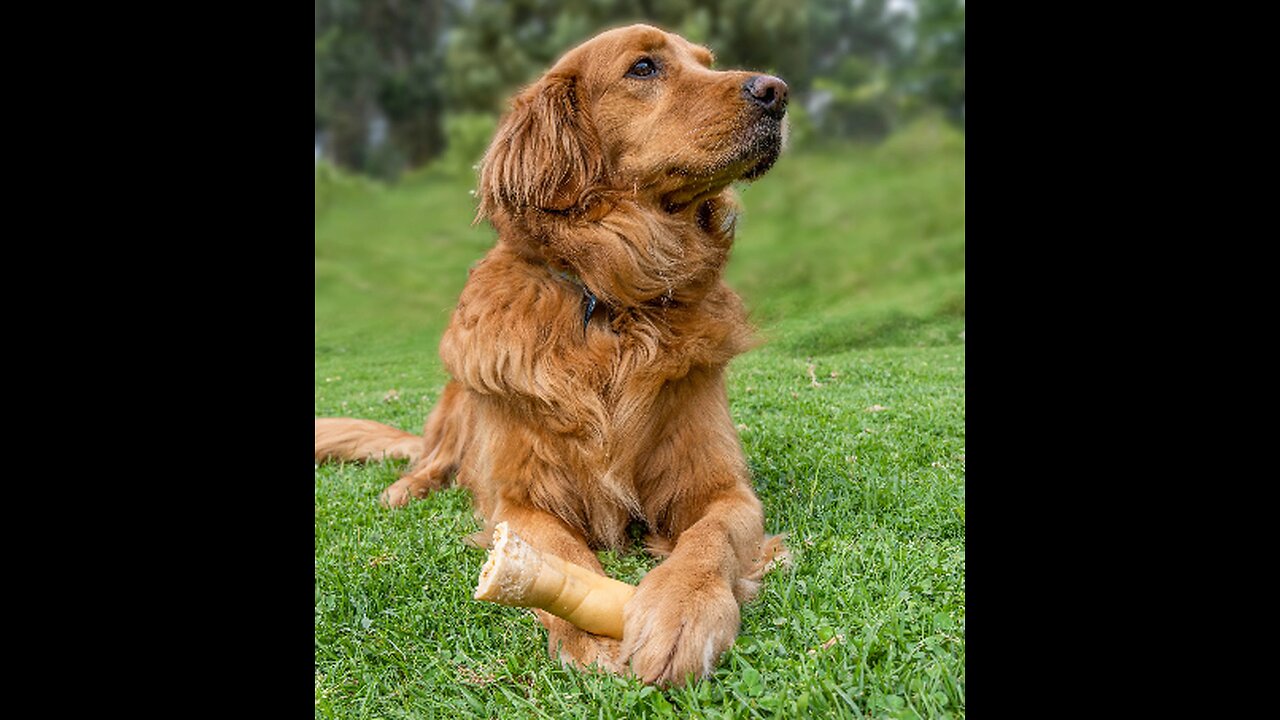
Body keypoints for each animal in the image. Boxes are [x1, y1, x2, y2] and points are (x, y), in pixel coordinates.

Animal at [314, 20, 783, 681]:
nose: (777, 91)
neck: (612, 301)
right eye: (644, 67)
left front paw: (682, 610)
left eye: (706, 61)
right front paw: (585, 625)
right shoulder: (521, 499)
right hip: (458, 400)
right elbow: (560, 550)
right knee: (430, 460)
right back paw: (403, 490)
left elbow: (707, 539)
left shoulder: (721, 489)